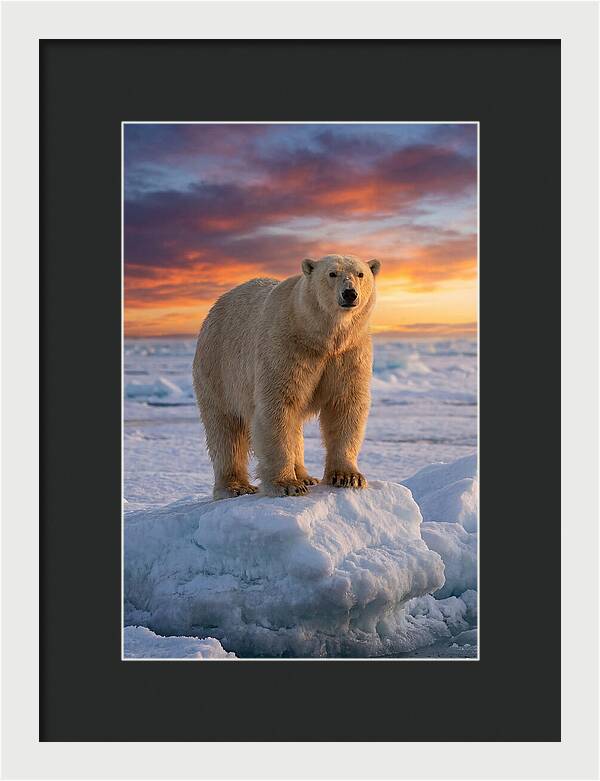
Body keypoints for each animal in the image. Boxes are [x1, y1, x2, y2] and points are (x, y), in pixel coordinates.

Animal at [192, 254, 381, 499]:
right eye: (332, 274)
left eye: (360, 274)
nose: (350, 293)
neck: (319, 336)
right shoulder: (285, 347)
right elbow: (278, 406)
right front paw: (287, 484)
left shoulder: (349, 353)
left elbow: (345, 405)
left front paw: (348, 477)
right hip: (218, 368)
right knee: (226, 429)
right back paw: (236, 486)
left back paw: (306, 476)